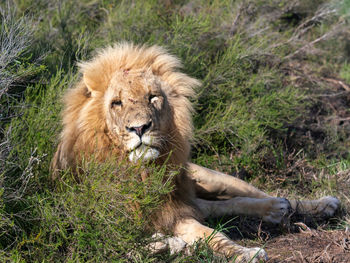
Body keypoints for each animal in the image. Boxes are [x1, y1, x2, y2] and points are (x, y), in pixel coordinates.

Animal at [51, 42, 340, 262]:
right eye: (116, 103)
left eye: (152, 97)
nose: (140, 128)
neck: (140, 174)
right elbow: (126, 245)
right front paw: (169, 245)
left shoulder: (173, 212)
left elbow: (215, 235)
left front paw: (246, 253)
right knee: (217, 207)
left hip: (210, 179)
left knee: (251, 196)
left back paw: (314, 204)